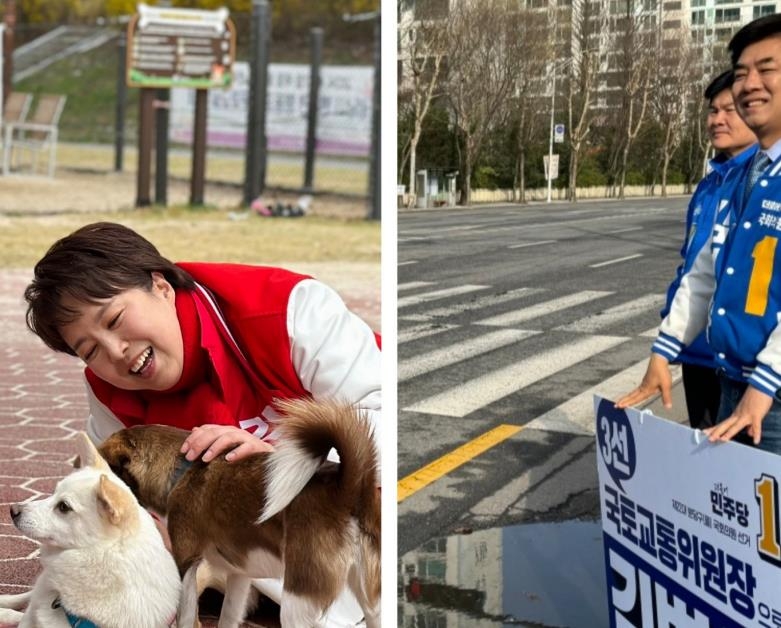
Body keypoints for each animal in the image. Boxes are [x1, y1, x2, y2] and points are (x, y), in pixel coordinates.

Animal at [99, 400, 380, 624]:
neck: (182, 471)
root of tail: (350, 488)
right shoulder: (239, 575)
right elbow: (229, 615)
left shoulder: (186, 565)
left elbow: (185, 617)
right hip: (372, 599)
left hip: (298, 601)